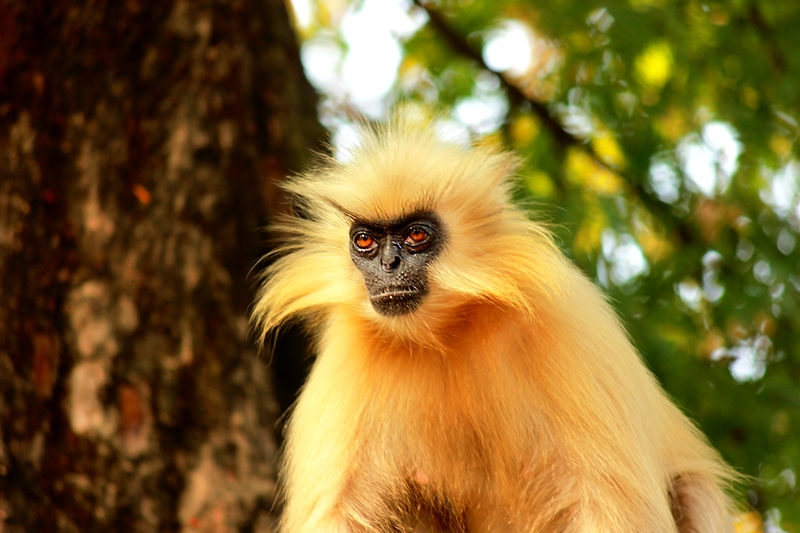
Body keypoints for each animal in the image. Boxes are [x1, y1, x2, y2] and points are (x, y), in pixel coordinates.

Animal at [253, 114, 740, 528]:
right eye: (365, 241)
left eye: (415, 234)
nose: (389, 265)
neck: (451, 332)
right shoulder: (351, 353)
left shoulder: (569, 320)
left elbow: (612, 506)